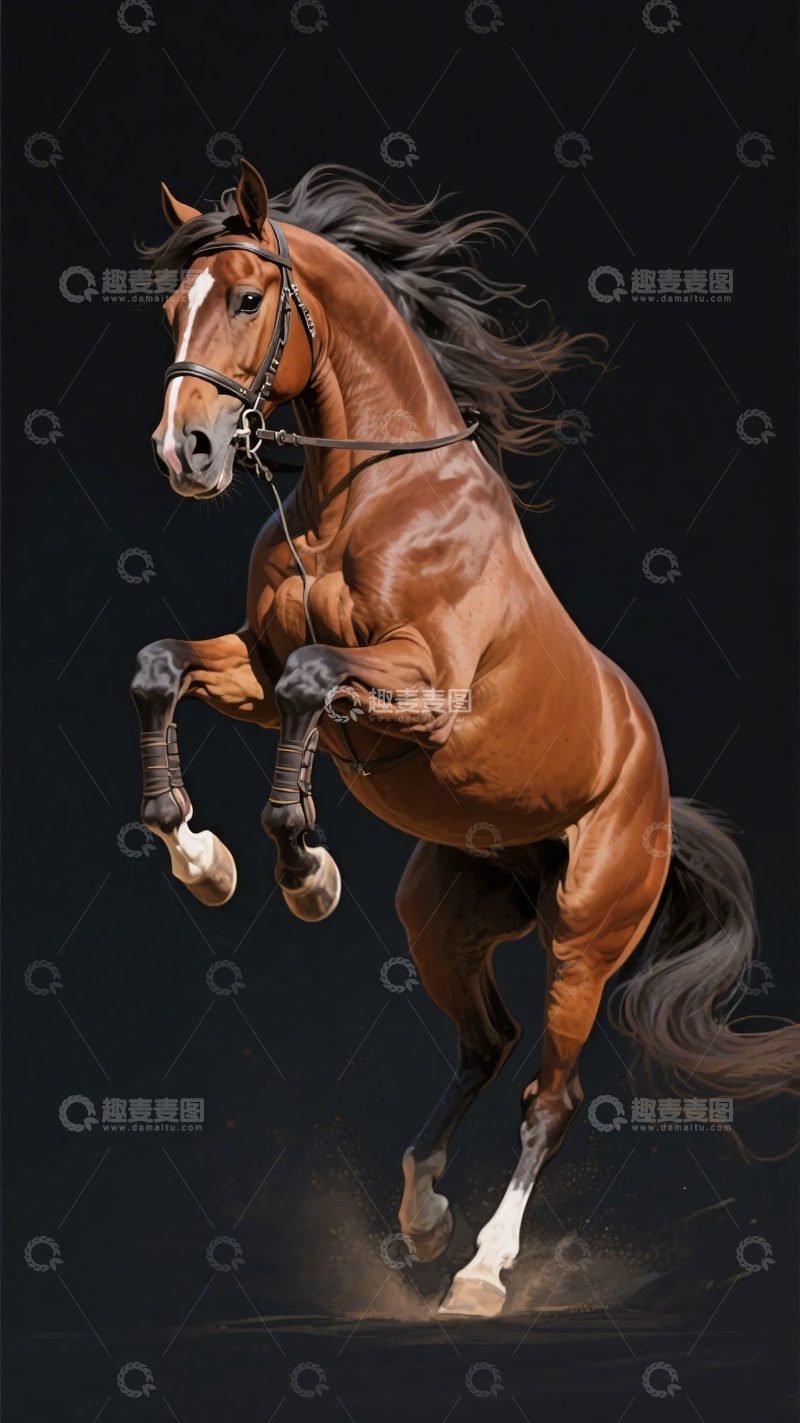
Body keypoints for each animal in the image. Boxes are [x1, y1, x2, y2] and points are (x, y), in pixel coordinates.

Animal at [131, 159, 799, 1317]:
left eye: (249, 300)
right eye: (174, 306)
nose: (189, 451)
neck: (360, 495)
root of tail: (660, 801)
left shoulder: (426, 686)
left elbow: (314, 685)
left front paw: (303, 870)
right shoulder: (251, 665)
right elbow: (164, 667)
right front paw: (200, 856)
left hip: (585, 936)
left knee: (548, 1092)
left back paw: (483, 1270)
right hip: (442, 918)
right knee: (485, 1044)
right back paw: (421, 1214)